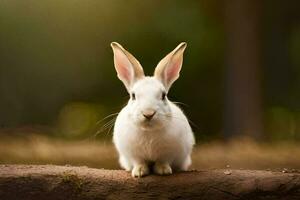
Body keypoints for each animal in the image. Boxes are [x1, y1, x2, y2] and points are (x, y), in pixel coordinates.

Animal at [110, 41, 195, 177]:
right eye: (133, 96)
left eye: (163, 95)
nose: (148, 113)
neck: (149, 131)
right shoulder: (133, 154)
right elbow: (139, 162)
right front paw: (139, 172)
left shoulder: (168, 153)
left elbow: (163, 161)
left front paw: (163, 171)